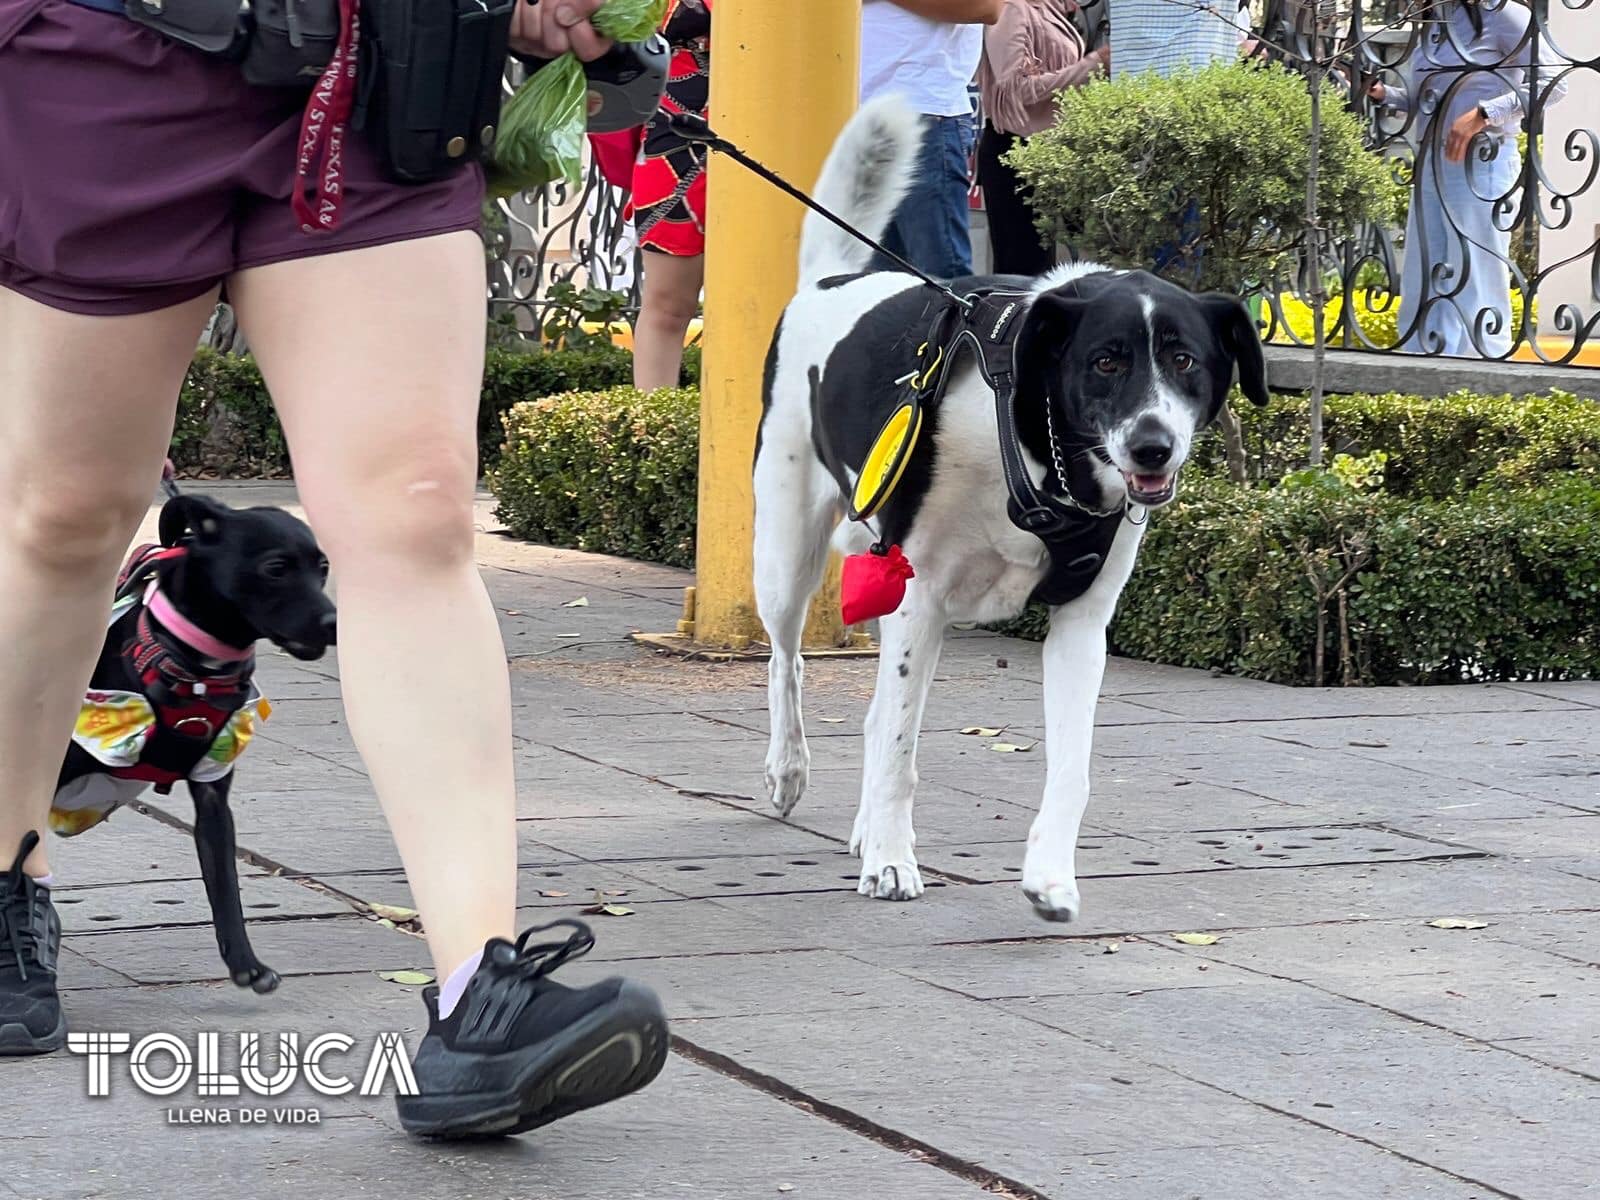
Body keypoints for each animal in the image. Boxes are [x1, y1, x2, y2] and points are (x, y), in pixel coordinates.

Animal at [53, 492, 336, 992]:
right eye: (275, 568)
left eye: (322, 567)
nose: (334, 622)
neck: (194, 668)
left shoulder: (213, 795)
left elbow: (225, 886)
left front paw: (245, 962)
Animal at [755, 98, 1267, 928]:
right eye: (1106, 360)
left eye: (1185, 359)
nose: (1153, 447)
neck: (1035, 452)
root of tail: (830, 281)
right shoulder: (920, 596)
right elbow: (900, 747)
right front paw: (894, 861)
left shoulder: (1081, 626)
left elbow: (1071, 768)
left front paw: (1050, 875)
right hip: (786, 552)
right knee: (787, 662)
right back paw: (790, 771)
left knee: (868, 712)